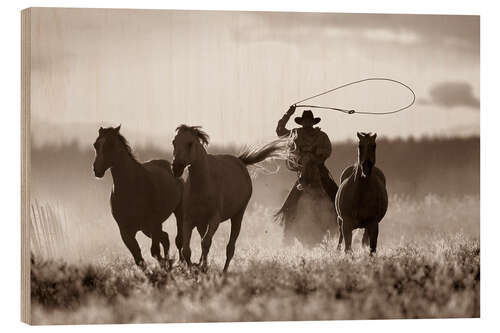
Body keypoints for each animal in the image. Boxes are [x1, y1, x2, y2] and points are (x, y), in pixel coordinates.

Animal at [92, 125, 184, 268]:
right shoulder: (125, 231)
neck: (132, 188)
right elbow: (138, 258)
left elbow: (154, 252)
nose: (97, 169)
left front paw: (165, 265)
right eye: (96, 145)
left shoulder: (153, 223)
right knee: (165, 238)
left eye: (111, 144)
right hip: (147, 229)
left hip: (171, 216)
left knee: (177, 239)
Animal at [172, 123, 288, 272]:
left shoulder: (214, 219)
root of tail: (240, 161)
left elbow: (206, 242)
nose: (176, 168)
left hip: (238, 216)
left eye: (190, 143)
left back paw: (224, 271)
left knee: (230, 247)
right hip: (201, 223)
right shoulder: (189, 220)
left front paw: (203, 268)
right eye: (174, 142)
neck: (203, 184)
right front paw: (194, 269)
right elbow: (186, 250)